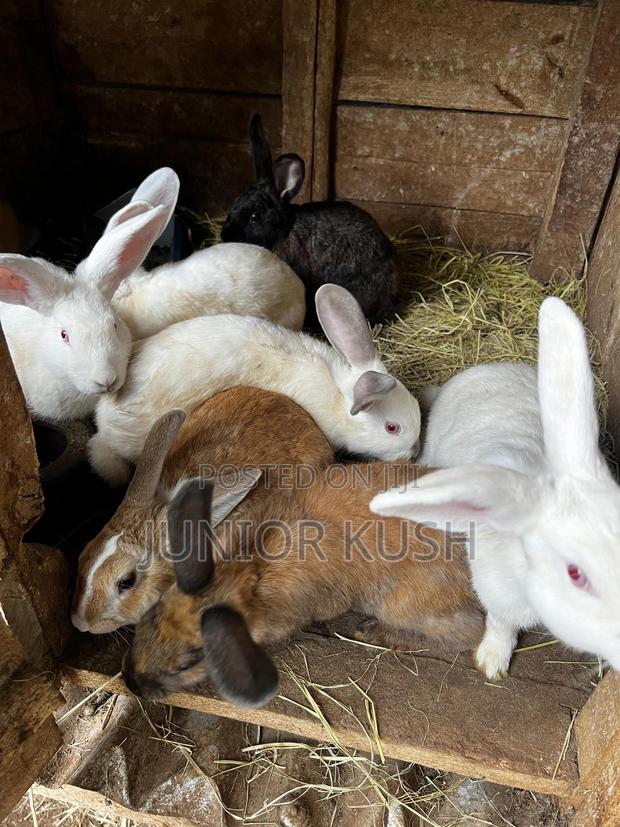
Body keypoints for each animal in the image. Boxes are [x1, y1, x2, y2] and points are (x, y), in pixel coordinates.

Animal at [122, 462, 483, 705]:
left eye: (189, 662)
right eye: (152, 613)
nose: (132, 683)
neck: (248, 567)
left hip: (405, 604)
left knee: (466, 635)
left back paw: (372, 632)